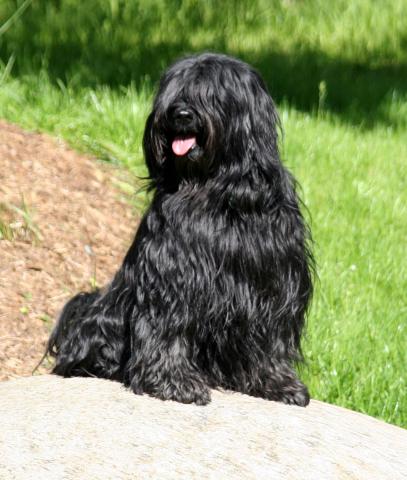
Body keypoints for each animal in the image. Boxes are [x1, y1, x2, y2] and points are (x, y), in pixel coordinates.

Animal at [48, 52, 316, 404]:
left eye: (212, 92)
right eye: (175, 90)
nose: (181, 114)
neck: (214, 185)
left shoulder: (269, 278)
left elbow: (267, 339)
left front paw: (278, 382)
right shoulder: (173, 271)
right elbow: (167, 328)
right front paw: (173, 383)